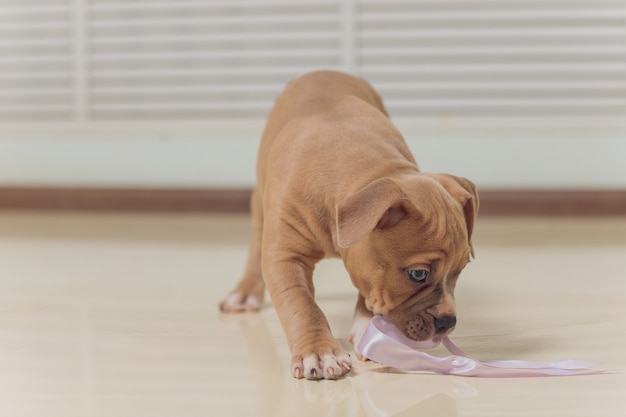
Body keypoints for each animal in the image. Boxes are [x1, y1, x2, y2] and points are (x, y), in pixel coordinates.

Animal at [217, 70, 476, 378]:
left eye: (461, 270)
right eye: (418, 275)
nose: (449, 322)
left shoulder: (369, 267)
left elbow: (367, 290)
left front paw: (367, 329)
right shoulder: (285, 257)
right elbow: (301, 304)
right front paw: (318, 352)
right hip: (260, 201)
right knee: (257, 243)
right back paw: (245, 293)